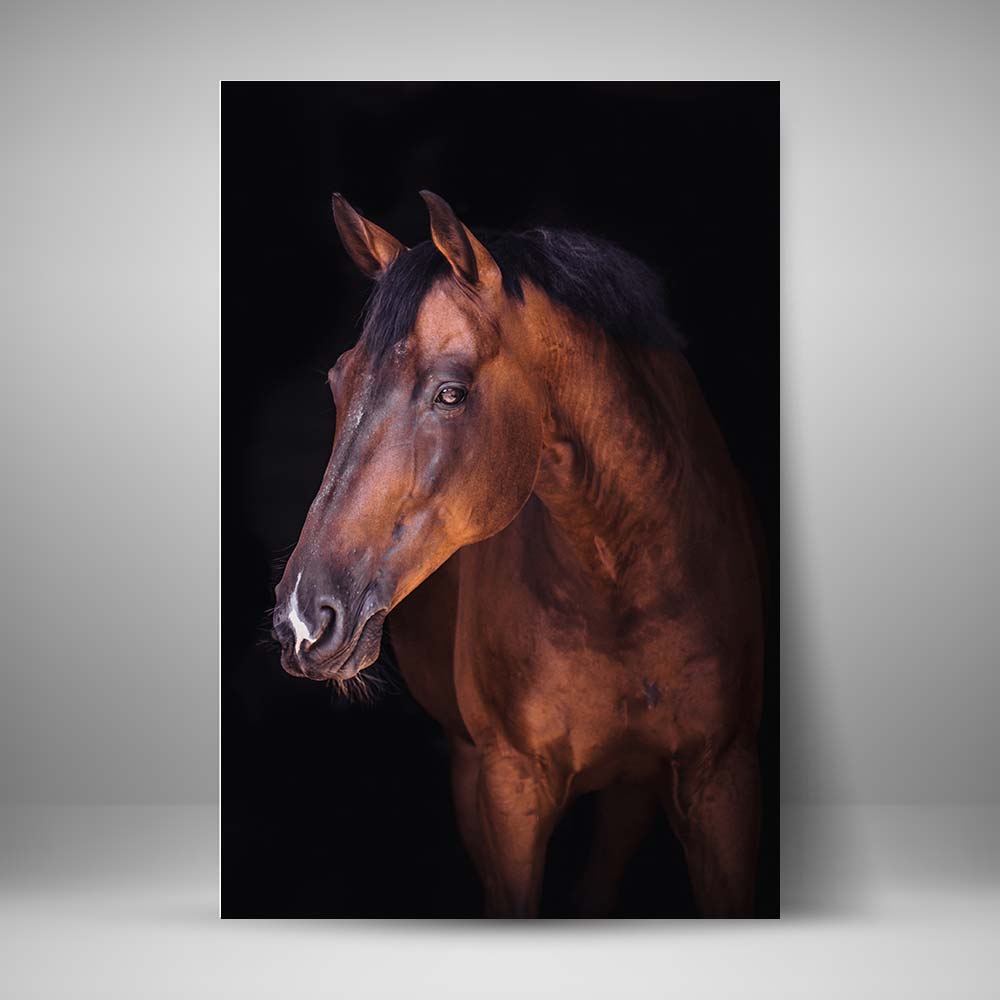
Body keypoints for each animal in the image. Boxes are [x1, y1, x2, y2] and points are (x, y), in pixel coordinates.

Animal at [272, 191, 765, 917]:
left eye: (451, 392)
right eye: (338, 381)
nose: (303, 620)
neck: (626, 579)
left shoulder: (722, 781)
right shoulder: (510, 787)